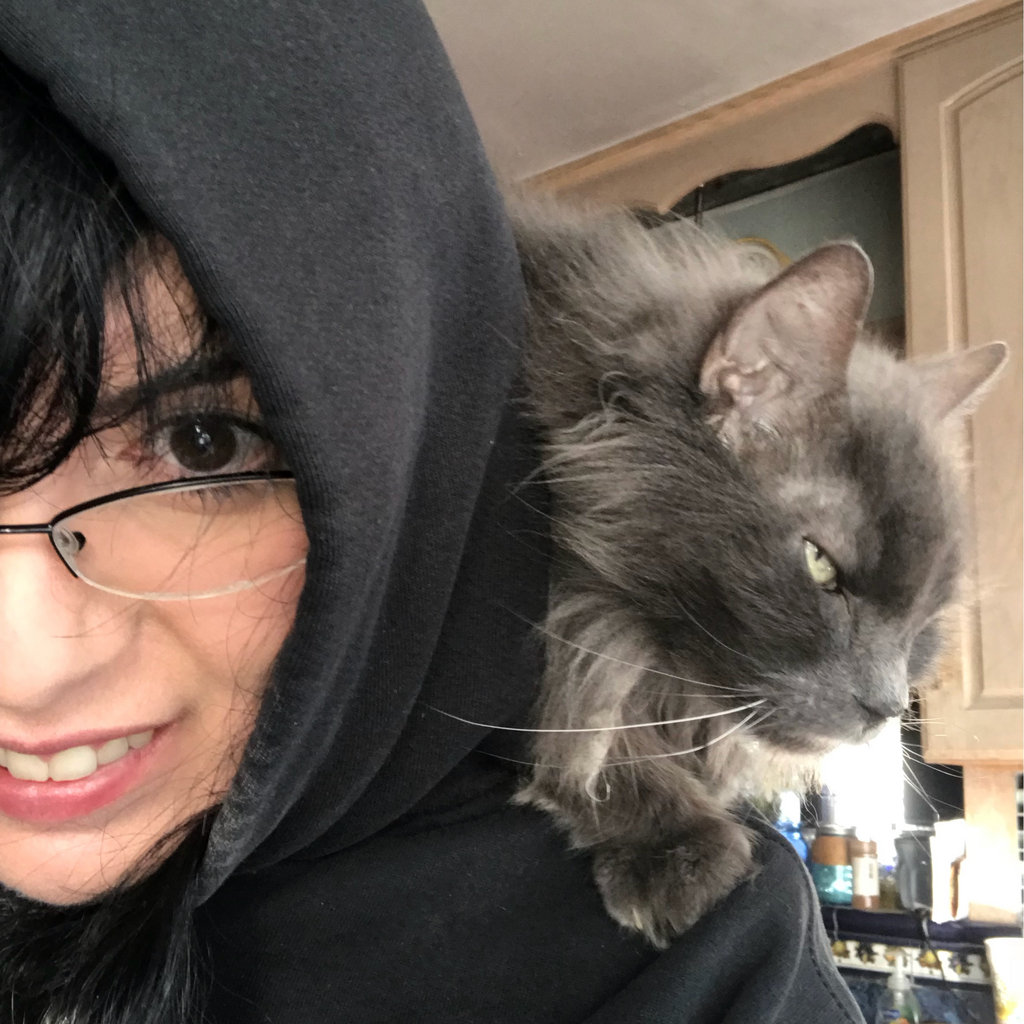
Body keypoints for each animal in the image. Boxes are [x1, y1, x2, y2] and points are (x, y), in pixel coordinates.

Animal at [509, 197, 1006, 948]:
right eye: (821, 566)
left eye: (924, 623)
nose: (887, 706)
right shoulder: (577, 613)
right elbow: (590, 716)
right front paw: (676, 850)